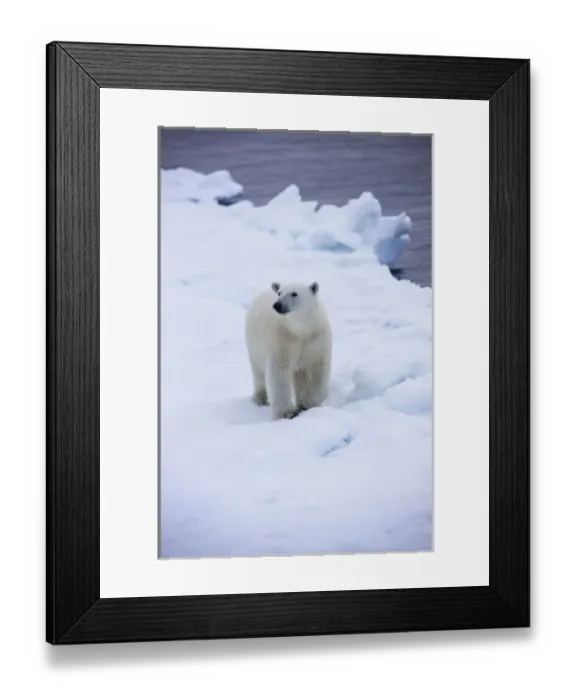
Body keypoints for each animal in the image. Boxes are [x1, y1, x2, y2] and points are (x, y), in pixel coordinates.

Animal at [245, 281, 332, 420]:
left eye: (294, 293)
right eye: (279, 292)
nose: (277, 305)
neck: (301, 330)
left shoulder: (317, 339)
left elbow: (317, 370)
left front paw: (309, 405)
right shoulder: (282, 341)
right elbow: (280, 372)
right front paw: (287, 413)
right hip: (254, 344)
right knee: (258, 372)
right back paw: (260, 398)